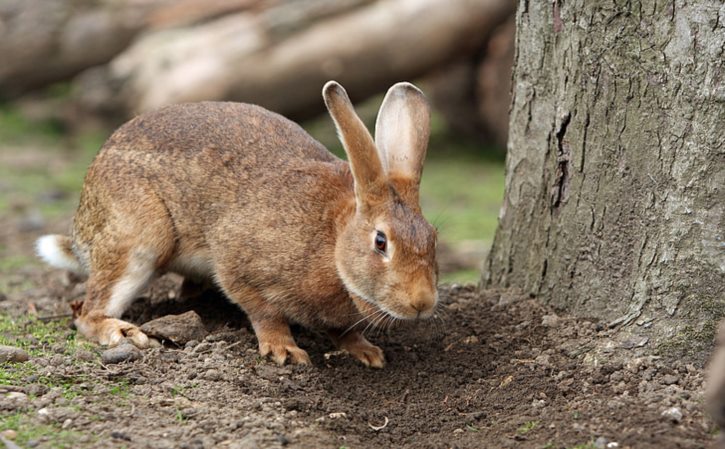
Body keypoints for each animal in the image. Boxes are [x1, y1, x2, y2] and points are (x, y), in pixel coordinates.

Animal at [36, 80, 438, 368]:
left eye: (433, 239)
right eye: (381, 242)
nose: (422, 302)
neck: (333, 239)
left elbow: (340, 330)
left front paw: (367, 352)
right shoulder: (238, 264)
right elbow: (264, 312)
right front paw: (284, 350)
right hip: (138, 238)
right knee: (88, 312)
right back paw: (121, 332)